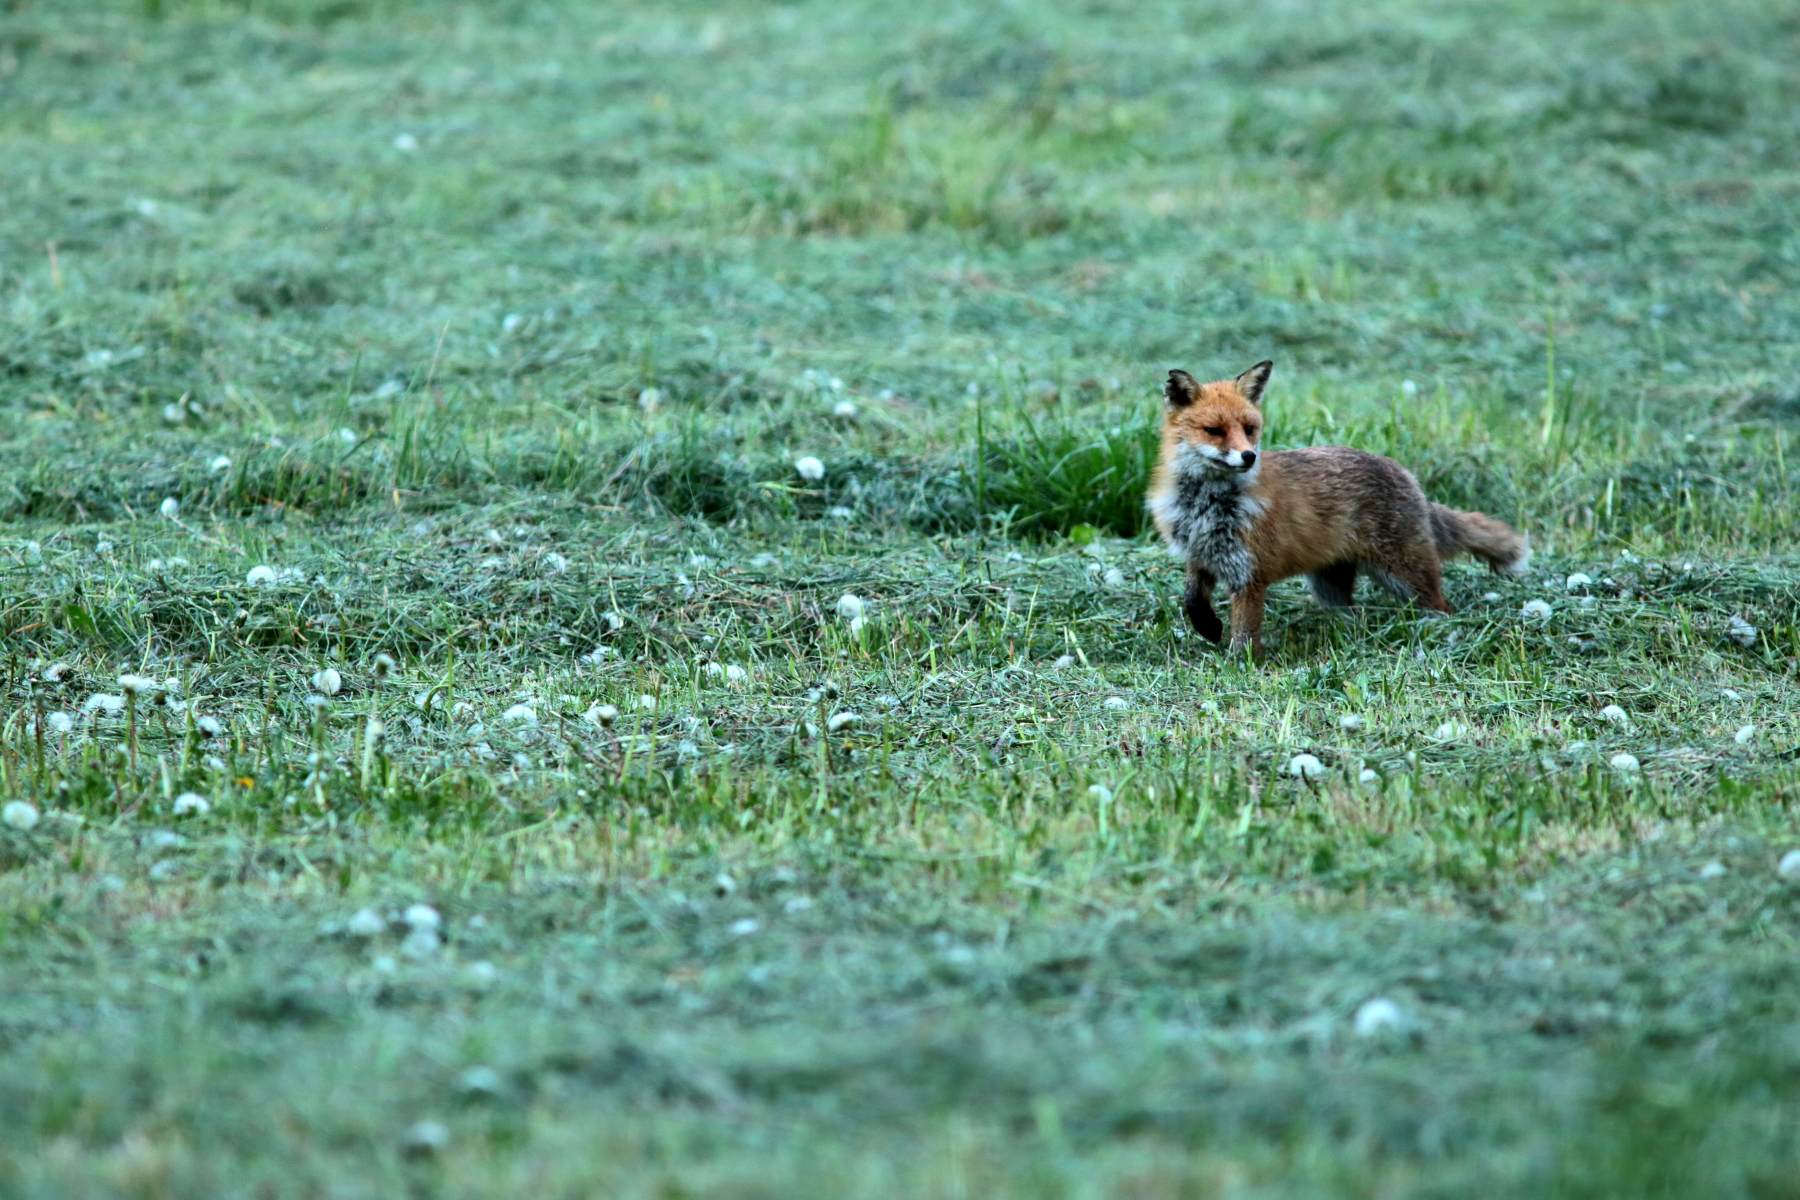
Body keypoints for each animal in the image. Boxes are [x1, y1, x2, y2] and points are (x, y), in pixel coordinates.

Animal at [1144, 361, 1526, 662]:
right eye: (1215, 431)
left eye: (1249, 430)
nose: (1249, 457)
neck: (1205, 507)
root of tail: (1404, 472)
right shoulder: (1202, 556)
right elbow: (1191, 599)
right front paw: (1208, 628)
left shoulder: (1250, 574)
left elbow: (1245, 634)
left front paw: (1243, 667)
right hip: (1329, 587)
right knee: (1353, 616)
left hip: (1404, 576)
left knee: (1440, 607)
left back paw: (1441, 632)